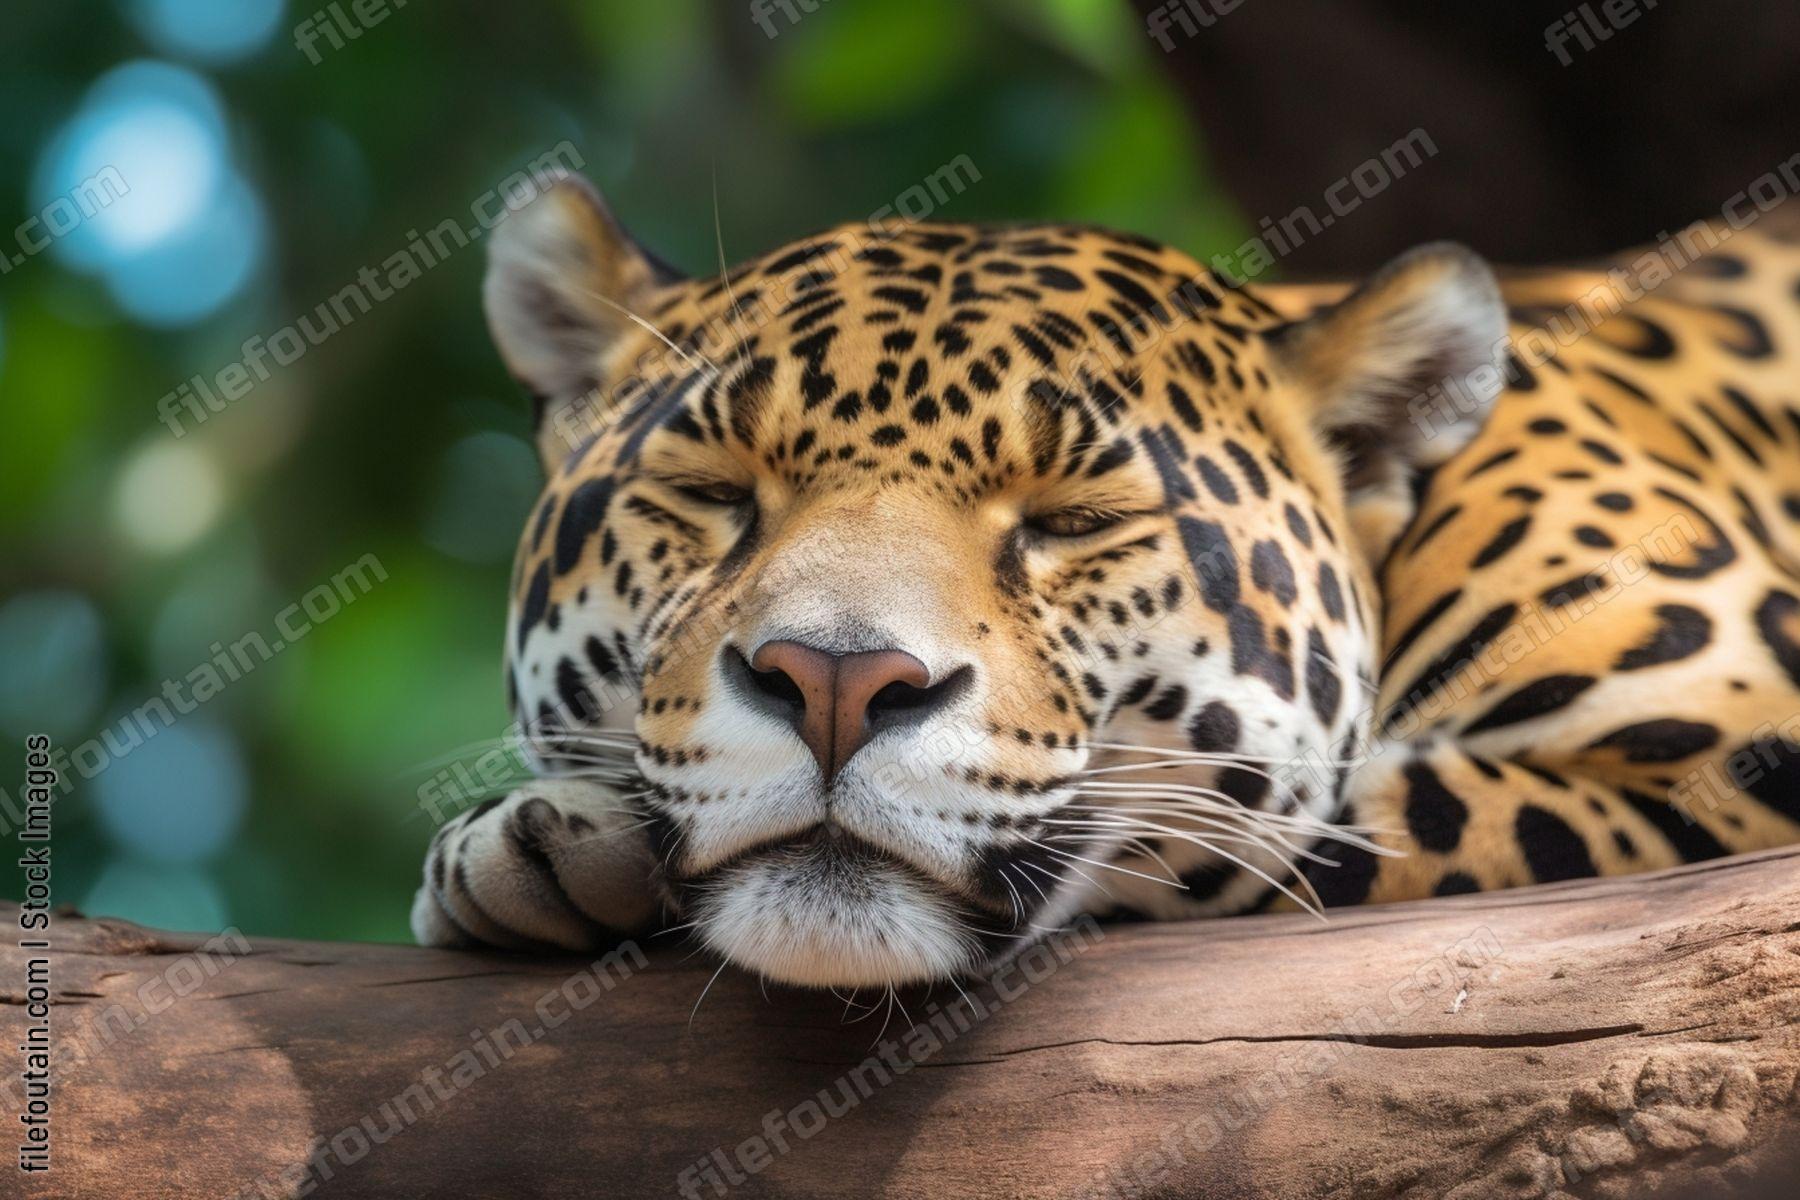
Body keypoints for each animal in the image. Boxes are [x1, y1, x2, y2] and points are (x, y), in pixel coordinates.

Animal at [412, 169, 1800, 989]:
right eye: (714, 492)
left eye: (1072, 519)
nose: (835, 682)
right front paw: (531, 845)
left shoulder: (1735, 755)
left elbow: (1285, 835)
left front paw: (546, 845)